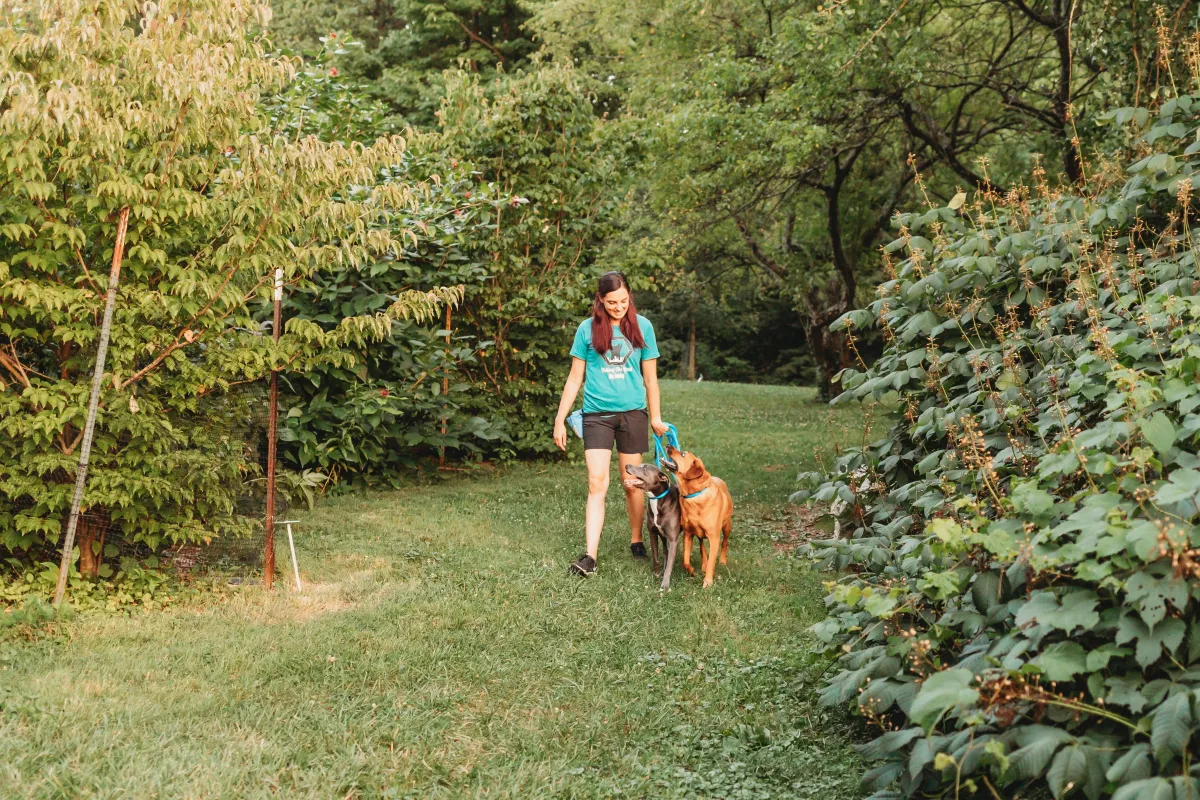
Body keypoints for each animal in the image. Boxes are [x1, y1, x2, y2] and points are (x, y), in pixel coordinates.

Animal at [657, 443, 729, 587]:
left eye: (683, 454)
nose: (667, 444)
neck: (694, 496)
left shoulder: (714, 538)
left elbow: (712, 561)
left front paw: (707, 582)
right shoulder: (688, 533)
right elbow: (686, 559)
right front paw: (692, 572)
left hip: (727, 526)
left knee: (725, 542)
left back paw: (722, 561)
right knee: (702, 547)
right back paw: (703, 565)